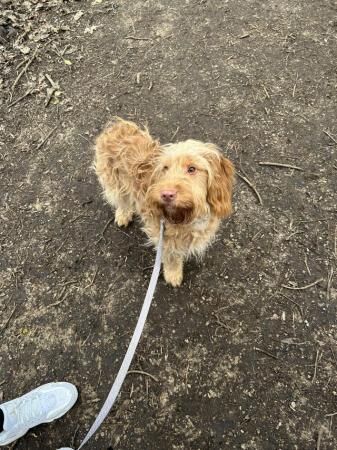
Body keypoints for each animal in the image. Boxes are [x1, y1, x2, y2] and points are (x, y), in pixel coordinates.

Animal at [93, 116, 232, 284]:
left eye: (192, 169)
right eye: (165, 168)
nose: (166, 194)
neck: (186, 216)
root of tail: (117, 125)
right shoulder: (165, 238)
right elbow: (171, 257)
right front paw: (173, 274)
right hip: (114, 181)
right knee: (122, 200)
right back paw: (123, 215)